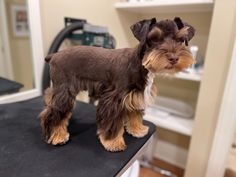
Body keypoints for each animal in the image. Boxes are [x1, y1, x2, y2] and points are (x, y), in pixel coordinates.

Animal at [39, 17, 195, 151]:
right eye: (154, 38)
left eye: (181, 39)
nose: (174, 58)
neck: (140, 62)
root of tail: (54, 56)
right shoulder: (114, 100)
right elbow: (113, 122)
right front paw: (113, 142)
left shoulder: (135, 95)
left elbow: (135, 114)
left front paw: (137, 129)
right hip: (64, 91)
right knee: (53, 114)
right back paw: (57, 135)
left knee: (49, 100)